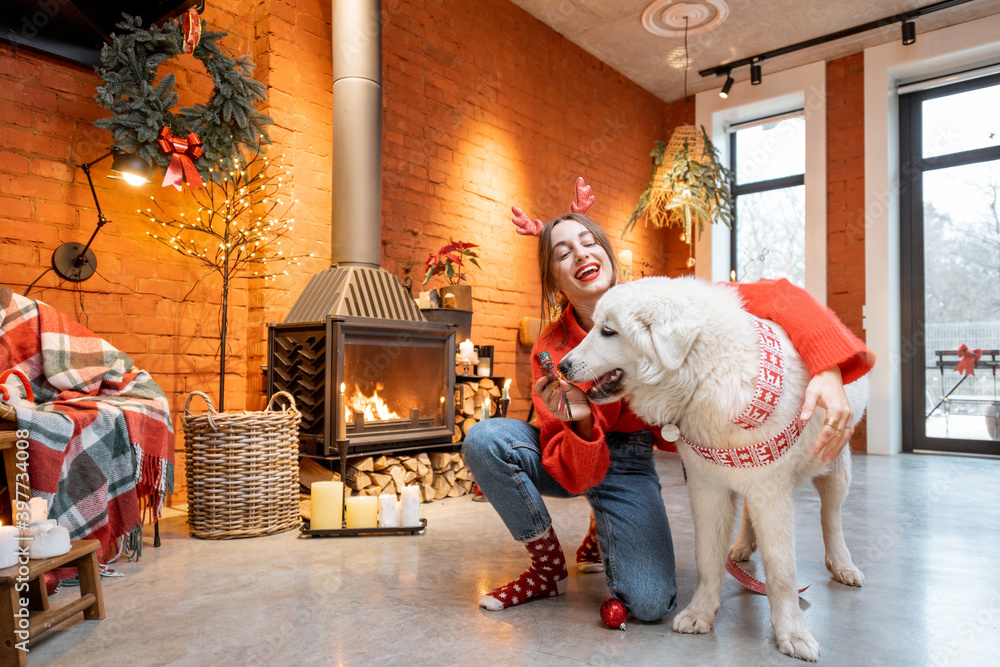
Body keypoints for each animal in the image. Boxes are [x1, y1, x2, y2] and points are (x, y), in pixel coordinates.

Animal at [564, 276, 868, 664]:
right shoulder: (707, 488)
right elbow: (708, 557)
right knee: (751, 514)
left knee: (830, 517)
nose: (562, 366)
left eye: (607, 331)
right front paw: (701, 613)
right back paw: (741, 546)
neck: (706, 371)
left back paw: (842, 564)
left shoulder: (772, 492)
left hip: (835, 468)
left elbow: (781, 570)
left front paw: (792, 633)